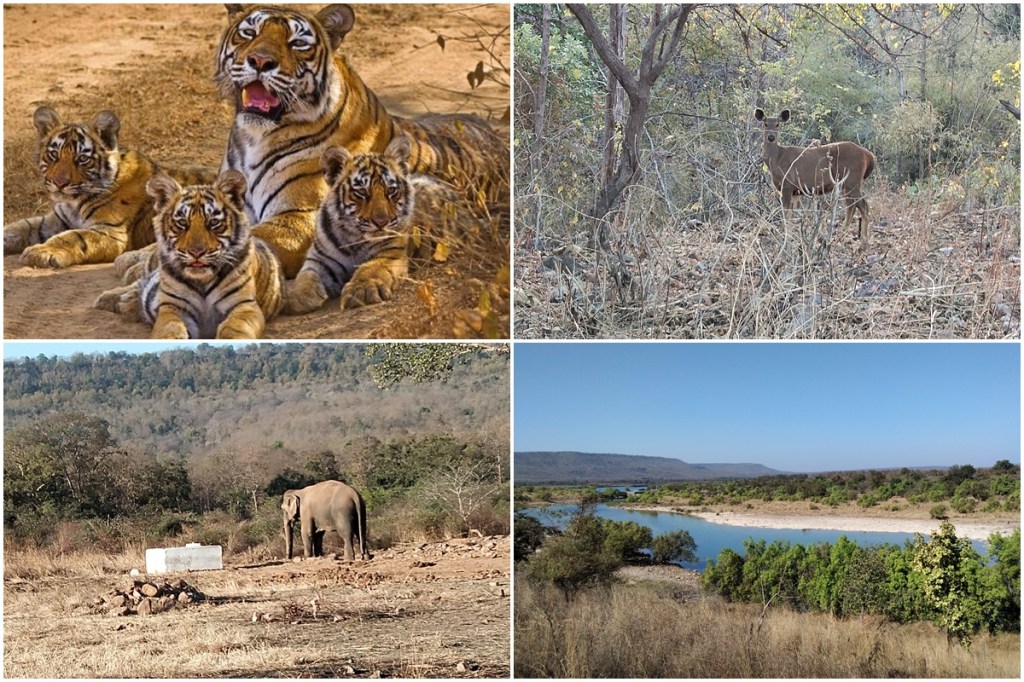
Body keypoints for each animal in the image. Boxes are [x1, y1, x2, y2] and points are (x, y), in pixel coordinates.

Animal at [4, 106, 213, 268]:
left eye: (82, 159)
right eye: (54, 155)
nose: (59, 183)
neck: (74, 203)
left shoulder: (110, 232)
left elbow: (73, 237)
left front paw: (41, 251)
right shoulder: (54, 221)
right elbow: (20, 227)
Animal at [95, 171, 284, 339]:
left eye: (213, 222)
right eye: (182, 223)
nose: (196, 252)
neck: (202, 281)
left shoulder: (244, 306)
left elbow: (234, 328)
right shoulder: (173, 306)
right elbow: (170, 328)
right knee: (139, 281)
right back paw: (112, 299)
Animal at [285, 135, 490, 313]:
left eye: (391, 191)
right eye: (361, 193)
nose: (381, 222)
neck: (354, 238)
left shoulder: (390, 254)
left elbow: (370, 269)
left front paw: (362, 291)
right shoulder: (320, 259)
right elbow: (306, 276)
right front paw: (297, 296)